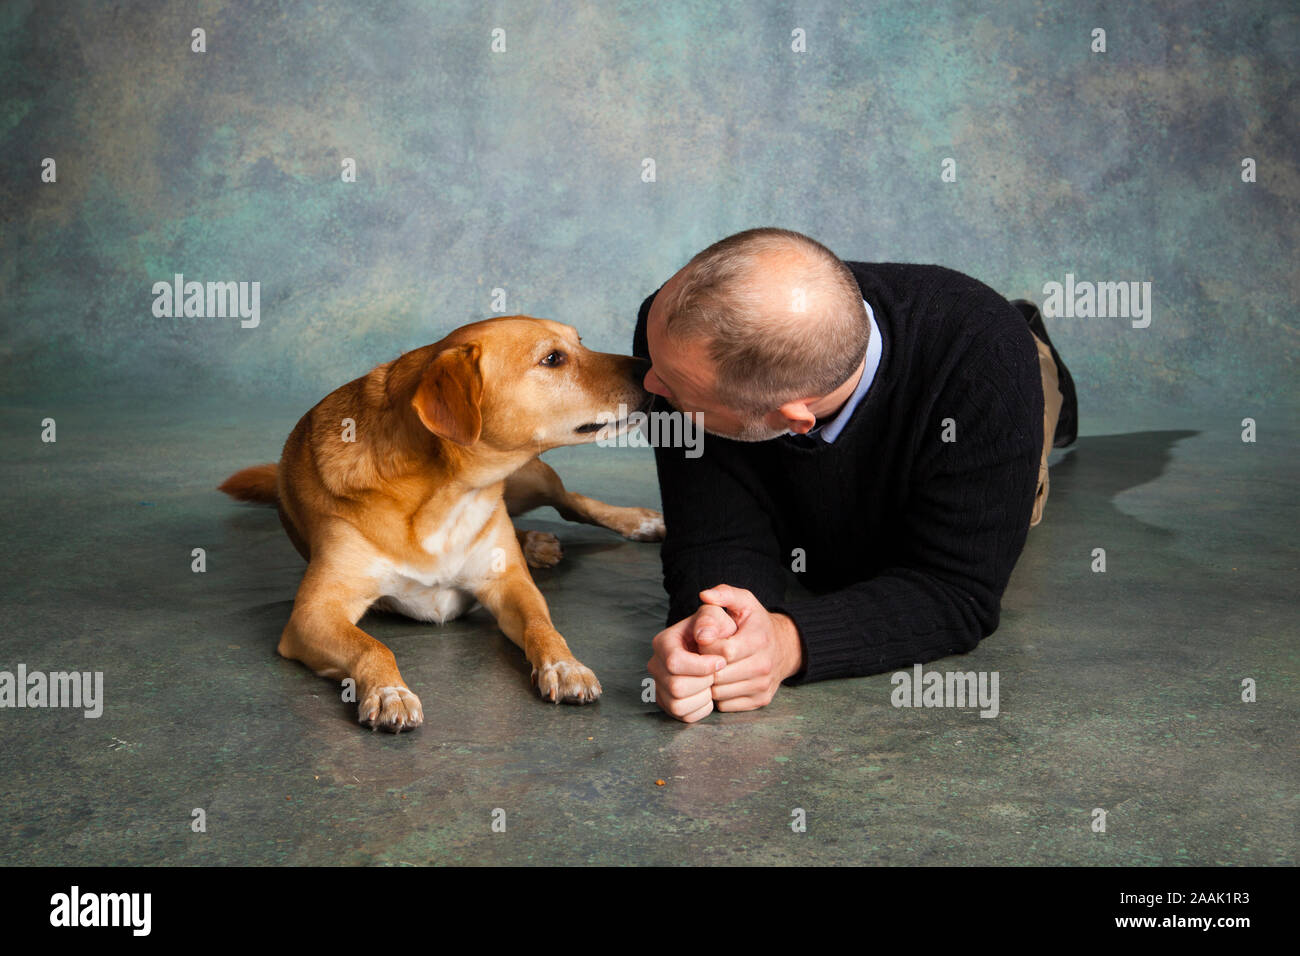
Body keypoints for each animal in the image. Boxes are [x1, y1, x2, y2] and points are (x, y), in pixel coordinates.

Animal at [220, 319, 660, 733]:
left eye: (579, 341)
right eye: (552, 359)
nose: (648, 365)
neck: (448, 493)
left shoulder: (510, 584)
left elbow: (542, 627)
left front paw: (565, 666)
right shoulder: (313, 614)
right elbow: (371, 647)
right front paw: (389, 691)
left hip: (533, 478)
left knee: (573, 502)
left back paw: (638, 520)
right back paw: (535, 541)